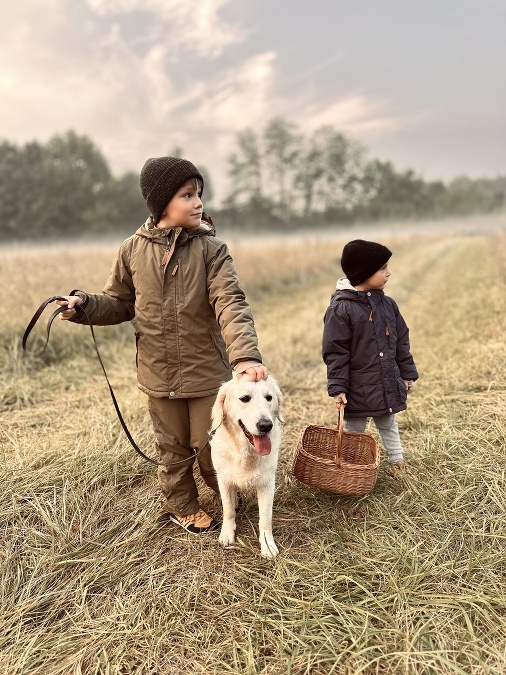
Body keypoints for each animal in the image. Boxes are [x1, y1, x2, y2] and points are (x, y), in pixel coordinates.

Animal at [208, 374, 282, 560]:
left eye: (269, 398)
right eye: (245, 399)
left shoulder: (267, 484)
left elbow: (265, 518)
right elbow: (228, 510)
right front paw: (227, 534)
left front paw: (267, 545)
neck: (246, 452)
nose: (266, 425)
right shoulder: (224, 480)